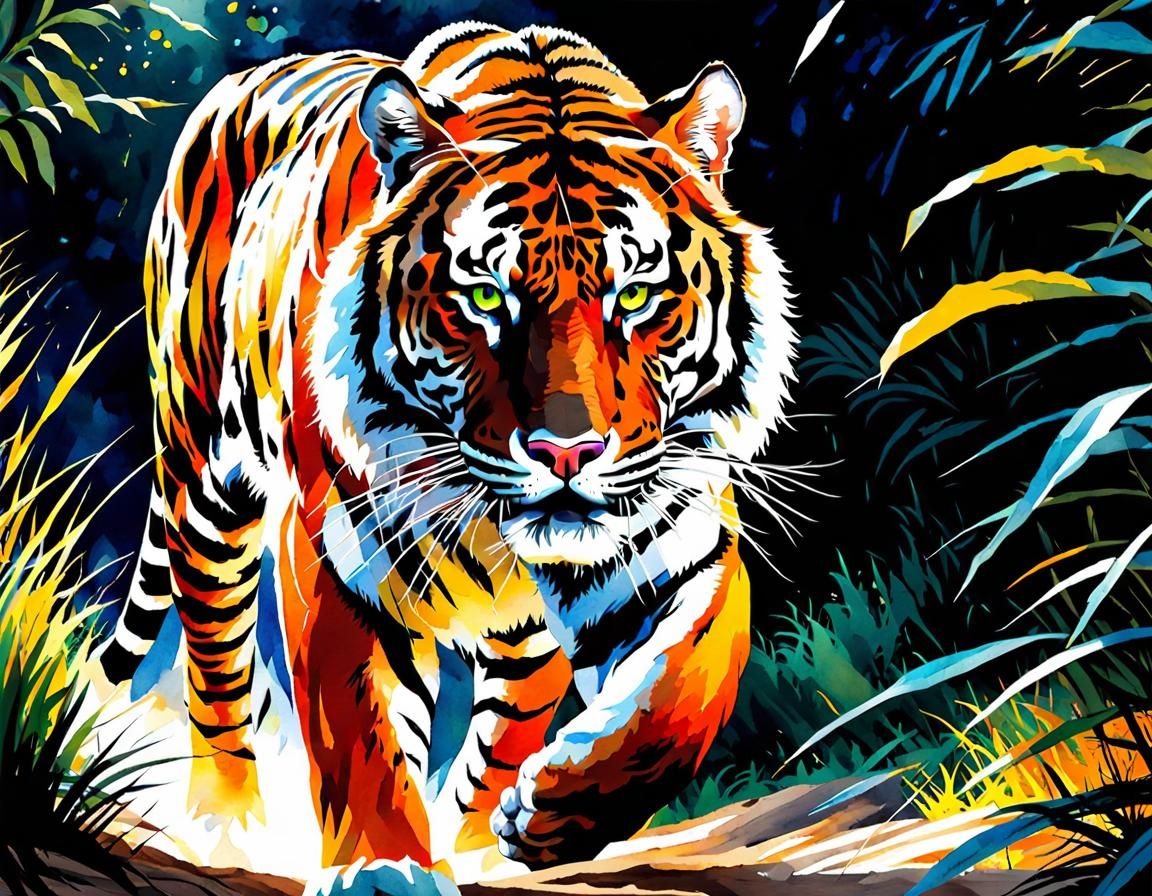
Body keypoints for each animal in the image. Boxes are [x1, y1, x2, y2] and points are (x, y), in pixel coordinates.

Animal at [92, 20, 797, 890]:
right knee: (216, 666)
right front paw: (384, 867)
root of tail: (239, 82)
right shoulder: (335, 552)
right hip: (205, 486)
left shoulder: (678, 534)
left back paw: (479, 838)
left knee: (507, 719)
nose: (567, 453)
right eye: (486, 297)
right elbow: (358, 726)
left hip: (519, 637)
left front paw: (557, 811)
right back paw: (229, 825)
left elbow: (690, 691)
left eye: (633, 295)